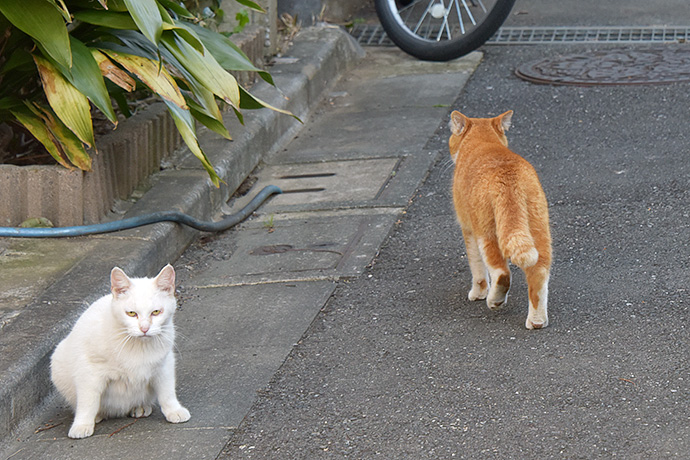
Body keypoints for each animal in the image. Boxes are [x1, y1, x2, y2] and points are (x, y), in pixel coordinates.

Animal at [50, 264, 191, 436]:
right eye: (131, 313)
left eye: (156, 312)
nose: (144, 328)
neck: (137, 345)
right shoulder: (89, 371)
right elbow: (88, 401)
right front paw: (82, 425)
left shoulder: (164, 365)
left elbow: (167, 392)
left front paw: (174, 410)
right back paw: (98, 415)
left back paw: (139, 407)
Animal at [448, 109, 552, 328]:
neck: (483, 141)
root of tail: (508, 175)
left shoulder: (468, 229)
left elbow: (477, 267)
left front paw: (478, 293)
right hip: (539, 231)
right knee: (538, 273)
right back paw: (537, 321)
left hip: (486, 232)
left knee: (501, 272)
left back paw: (494, 300)